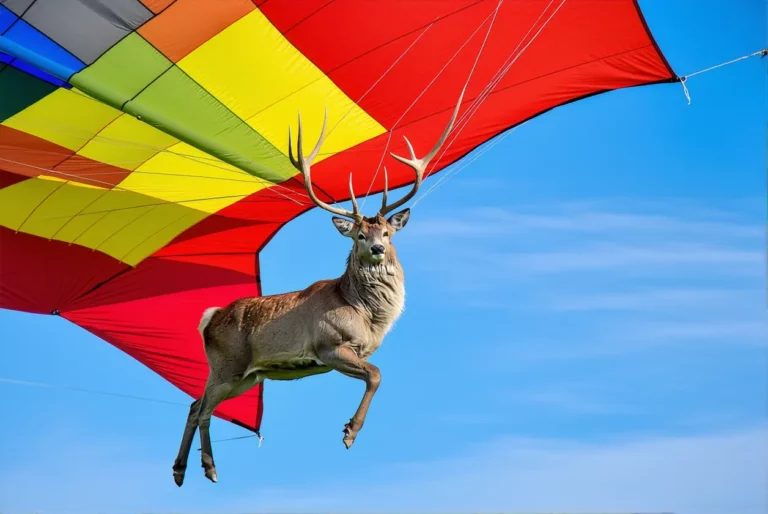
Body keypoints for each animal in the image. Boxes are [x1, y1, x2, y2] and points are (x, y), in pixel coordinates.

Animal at [171, 88, 465, 487]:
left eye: (386, 232)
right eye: (359, 235)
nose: (377, 248)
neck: (368, 316)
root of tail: (210, 318)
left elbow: (374, 373)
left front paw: (349, 431)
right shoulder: (328, 346)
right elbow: (376, 374)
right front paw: (350, 433)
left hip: (248, 376)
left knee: (193, 405)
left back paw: (180, 470)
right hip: (227, 366)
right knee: (202, 409)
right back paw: (209, 468)